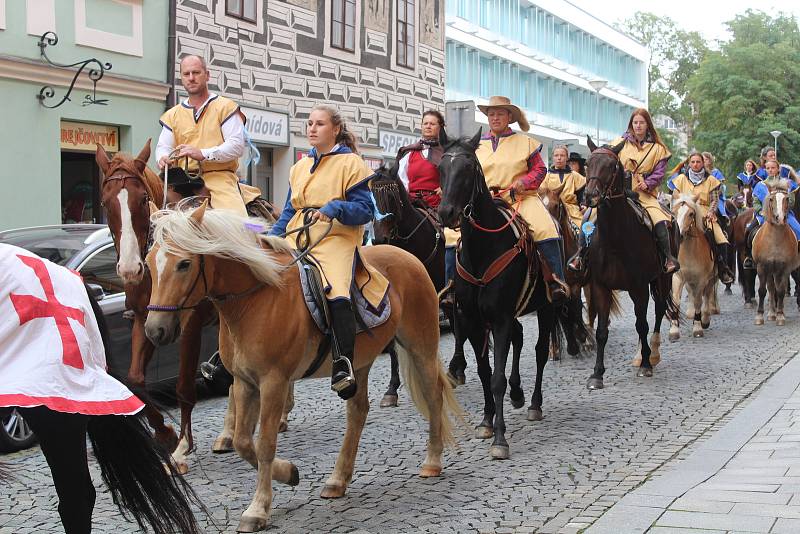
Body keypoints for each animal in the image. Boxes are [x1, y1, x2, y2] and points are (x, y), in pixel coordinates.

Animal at [141, 203, 460, 532]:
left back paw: (432, 461)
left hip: (420, 346)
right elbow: (243, 442)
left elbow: (265, 444)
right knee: (358, 412)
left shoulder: (274, 382)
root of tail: (407, 257)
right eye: (149, 264)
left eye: (184, 264)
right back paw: (337, 480)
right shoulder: (244, 382)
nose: (155, 330)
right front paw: (288, 473)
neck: (255, 300)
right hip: (359, 362)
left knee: (433, 396)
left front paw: (258, 508)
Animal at [434, 131, 592, 460]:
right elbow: (484, 372)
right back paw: (518, 394)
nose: (446, 213)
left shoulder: (501, 318)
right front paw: (486, 421)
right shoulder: (474, 319)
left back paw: (533, 403)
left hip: (546, 308)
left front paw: (500, 439)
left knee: (541, 351)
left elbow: (497, 378)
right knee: (519, 339)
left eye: (469, 168)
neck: (483, 250)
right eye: (441, 168)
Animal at [580, 138, 680, 390]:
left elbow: (641, 324)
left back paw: (652, 353)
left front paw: (645, 364)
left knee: (659, 311)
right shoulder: (601, 286)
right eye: (588, 163)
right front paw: (597, 374)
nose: (590, 196)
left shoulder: (639, 287)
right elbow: (601, 332)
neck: (616, 239)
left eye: (611, 166)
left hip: (663, 278)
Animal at [668, 195, 720, 342]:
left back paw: (705, 319)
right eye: (673, 212)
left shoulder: (701, 279)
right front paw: (674, 330)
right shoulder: (678, 277)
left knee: (707, 295)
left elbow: (698, 301)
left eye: (691, 214)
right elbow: (676, 301)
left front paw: (697, 327)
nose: (678, 235)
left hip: (711, 278)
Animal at [752, 184, 796, 326]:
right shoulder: (762, 267)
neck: (775, 240)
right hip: (770, 270)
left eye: (787, 199)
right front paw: (759, 316)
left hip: (777, 270)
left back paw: (777, 312)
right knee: (771, 288)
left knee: (776, 288)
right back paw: (771, 313)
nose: (780, 218)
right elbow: (762, 291)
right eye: (771, 199)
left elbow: (781, 291)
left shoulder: (785, 268)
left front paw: (780, 316)